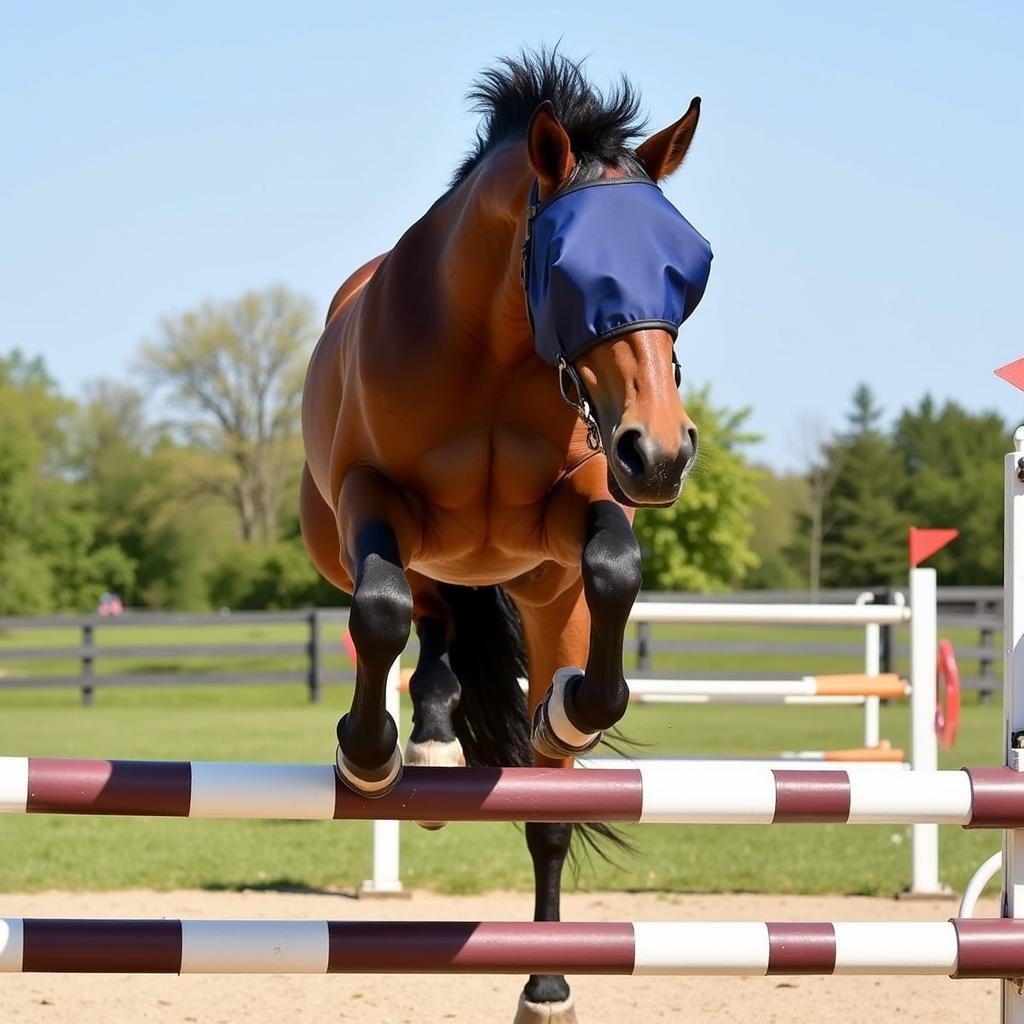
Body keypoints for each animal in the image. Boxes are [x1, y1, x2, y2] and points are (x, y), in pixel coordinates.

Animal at [299, 54, 708, 1024]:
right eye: (577, 271)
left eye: (680, 267)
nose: (662, 452)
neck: (489, 351)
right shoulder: (373, 500)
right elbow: (378, 611)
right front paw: (367, 754)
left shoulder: (576, 508)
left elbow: (614, 567)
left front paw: (575, 705)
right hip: (403, 551)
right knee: (427, 615)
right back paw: (428, 745)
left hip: (536, 594)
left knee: (544, 802)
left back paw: (549, 983)